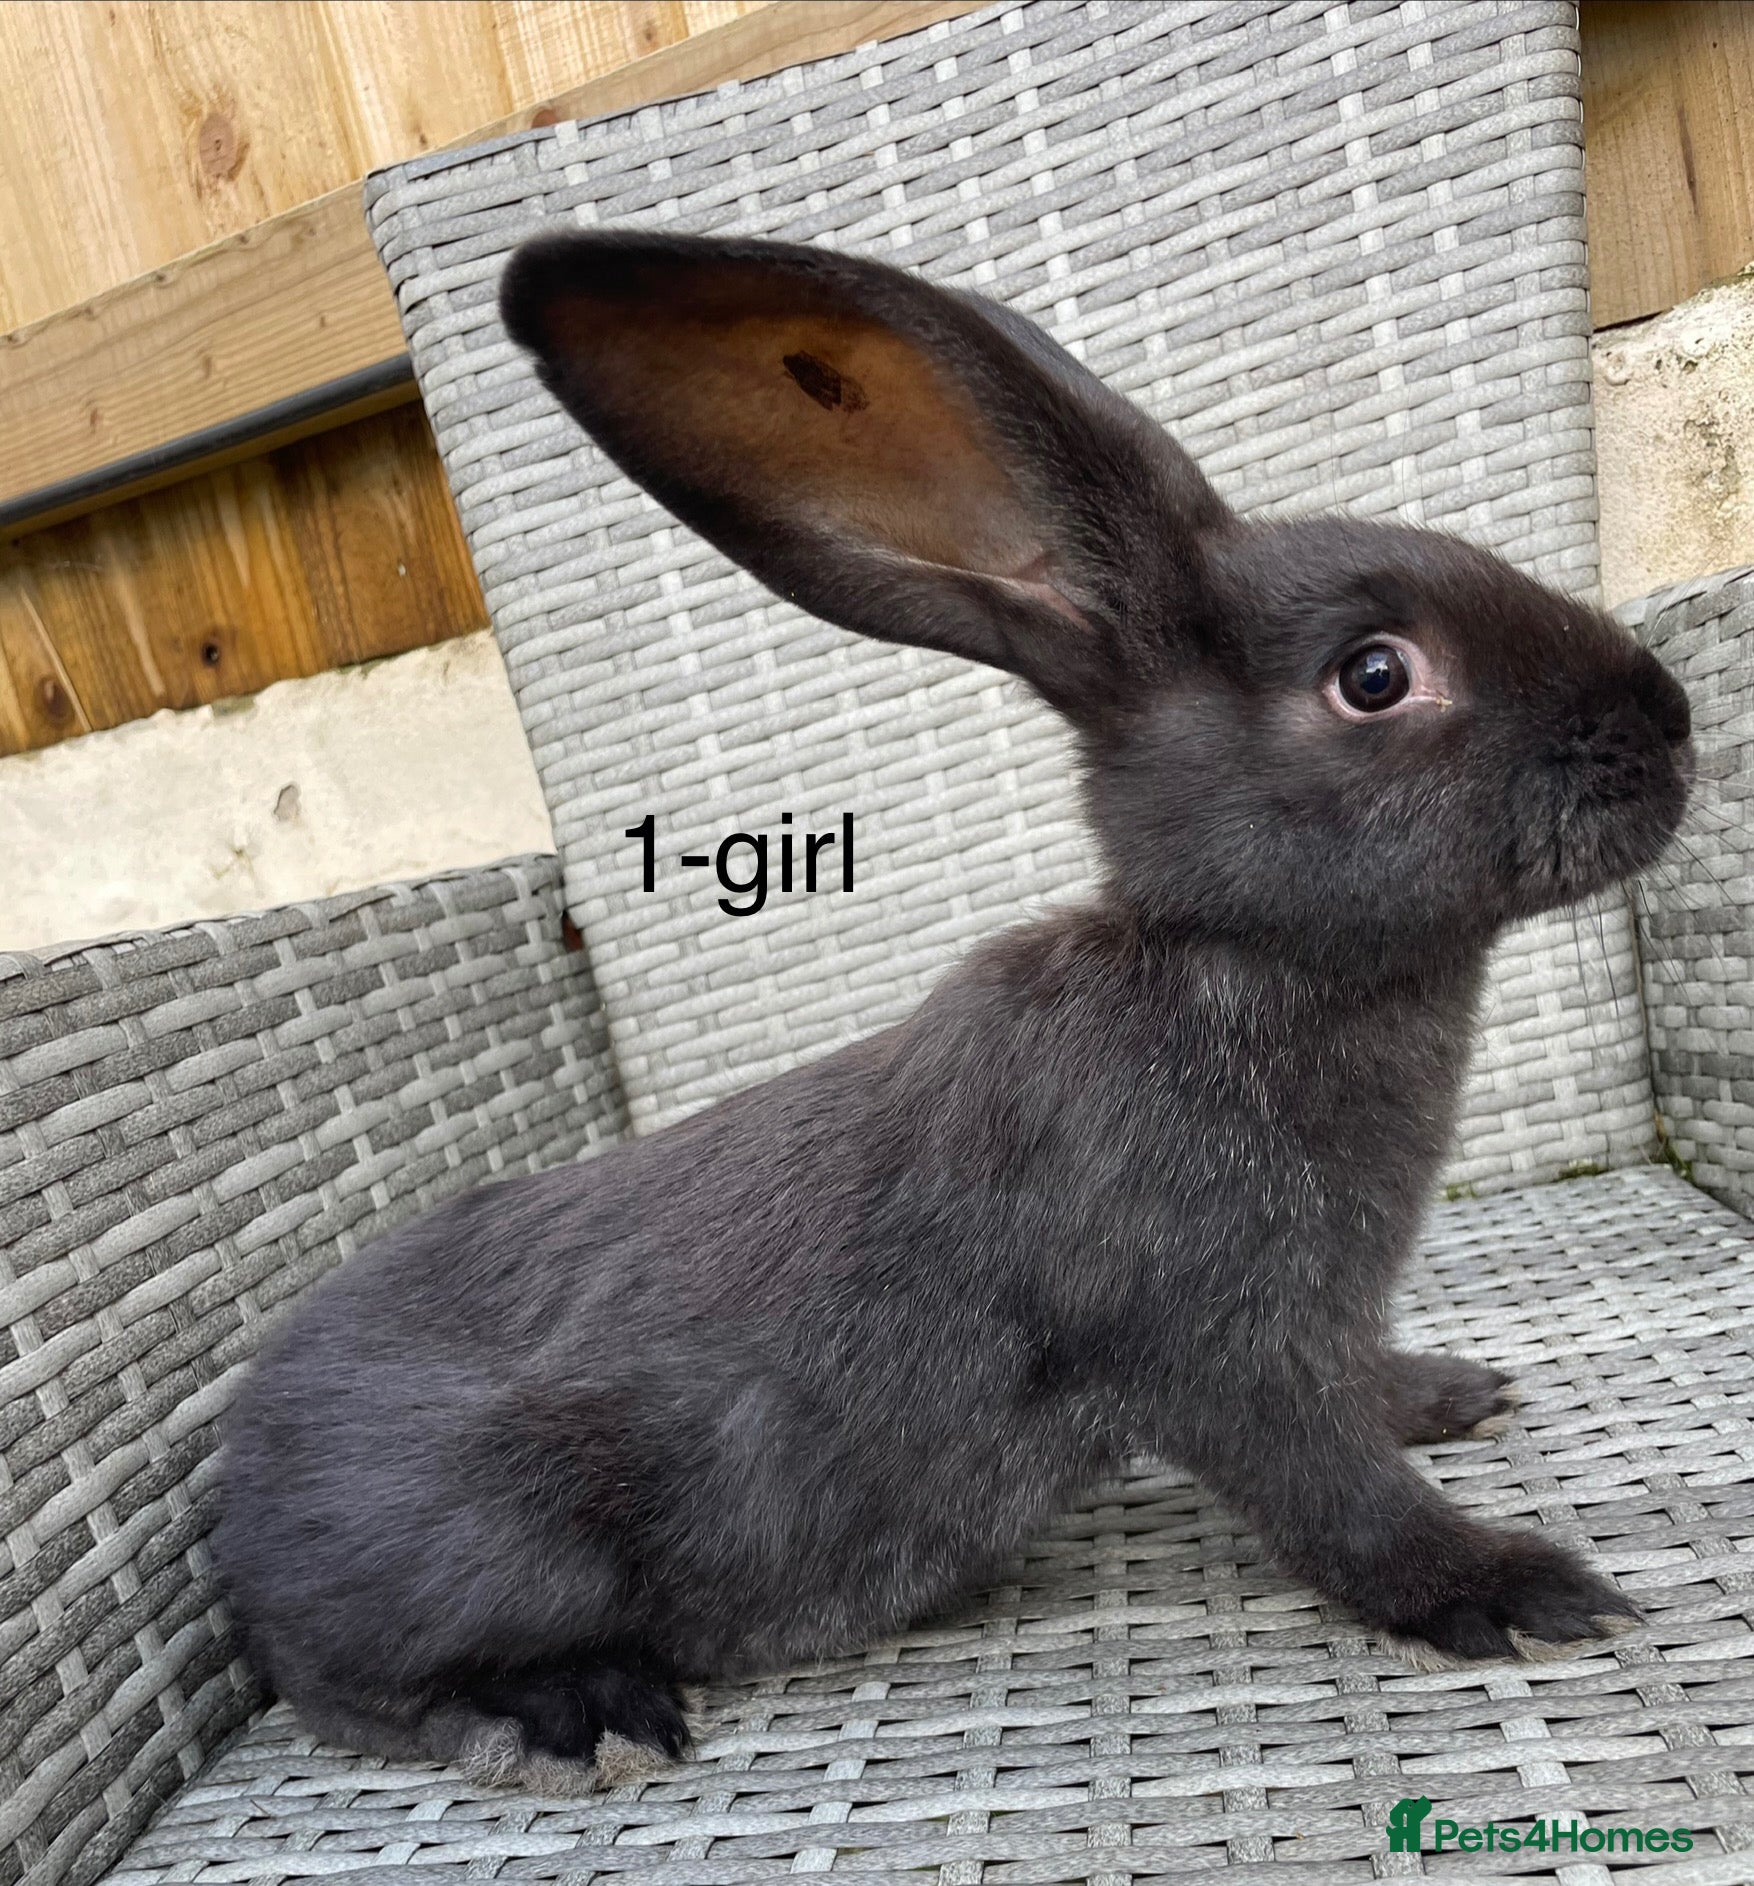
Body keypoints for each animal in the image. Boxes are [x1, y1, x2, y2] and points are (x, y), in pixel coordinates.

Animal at [215, 229, 1694, 1792]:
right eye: (1372, 675)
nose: (1666, 718)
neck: (1242, 965)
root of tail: (238, 1514)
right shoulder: (1218, 1347)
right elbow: (1337, 1492)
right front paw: (1508, 1587)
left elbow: (1362, 1400)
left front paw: (1447, 1393)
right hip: (498, 1552)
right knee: (350, 1689)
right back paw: (570, 1716)